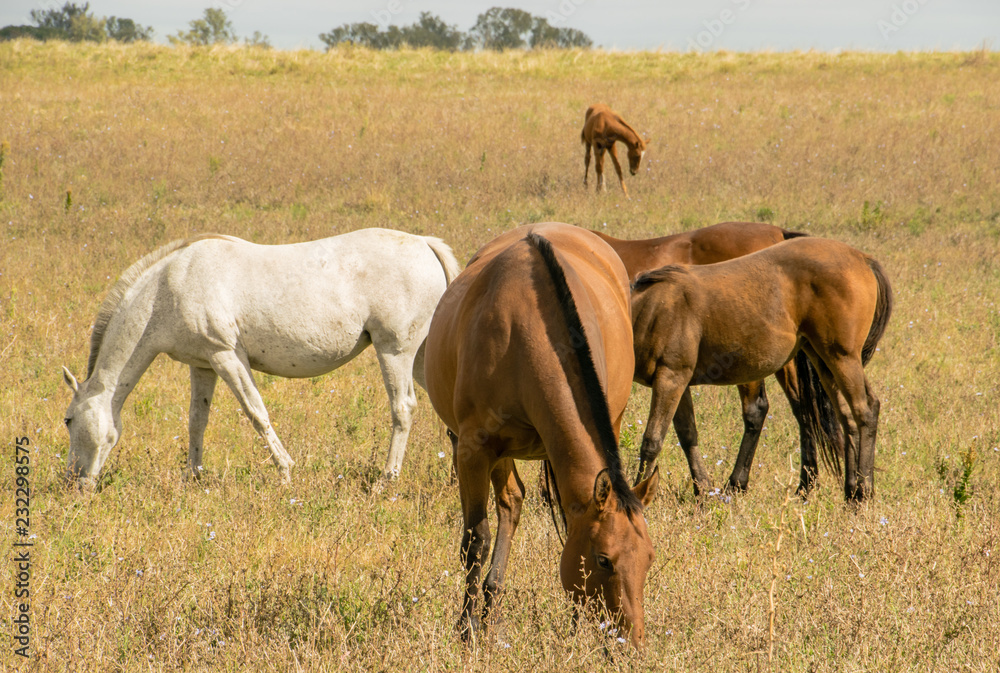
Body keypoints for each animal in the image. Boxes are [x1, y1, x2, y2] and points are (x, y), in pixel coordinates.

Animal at [64, 227, 462, 488]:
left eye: (68, 420)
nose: (72, 481)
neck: (168, 286)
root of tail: (425, 244)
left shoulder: (226, 356)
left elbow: (256, 412)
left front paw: (285, 472)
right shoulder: (203, 364)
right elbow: (197, 420)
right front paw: (192, 476)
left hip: (395, 351)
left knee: (403, 408)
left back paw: (386, 480)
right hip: (421, 358)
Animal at [426, 223, 660, 648]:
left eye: (649, 558)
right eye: (604, 560)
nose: (630, 642)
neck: (526, 330)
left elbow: (567, 525)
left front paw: (574, 625)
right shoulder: (473, 449)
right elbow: (475, 538)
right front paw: (465, 630)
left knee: (513, 502)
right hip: (494, 450)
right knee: (508, 504)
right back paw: (485, 613)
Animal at [592, 220, 836, 494]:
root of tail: (777, 233)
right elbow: (685, 432)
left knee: (757, 410)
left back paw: (740, 483)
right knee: (803, 407)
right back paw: (805, 483)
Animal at [628, 235, 896, 498]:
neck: (651, 309)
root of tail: (862, 258)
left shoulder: (671, 377)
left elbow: (652, 440)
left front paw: (637, 493)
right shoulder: (678, 382)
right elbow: (687, 435)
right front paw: (703, 491)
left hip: (842, 357)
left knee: (865, 410)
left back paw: (862, 492)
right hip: (824, 361)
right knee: (846, 417)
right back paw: (849, 491)